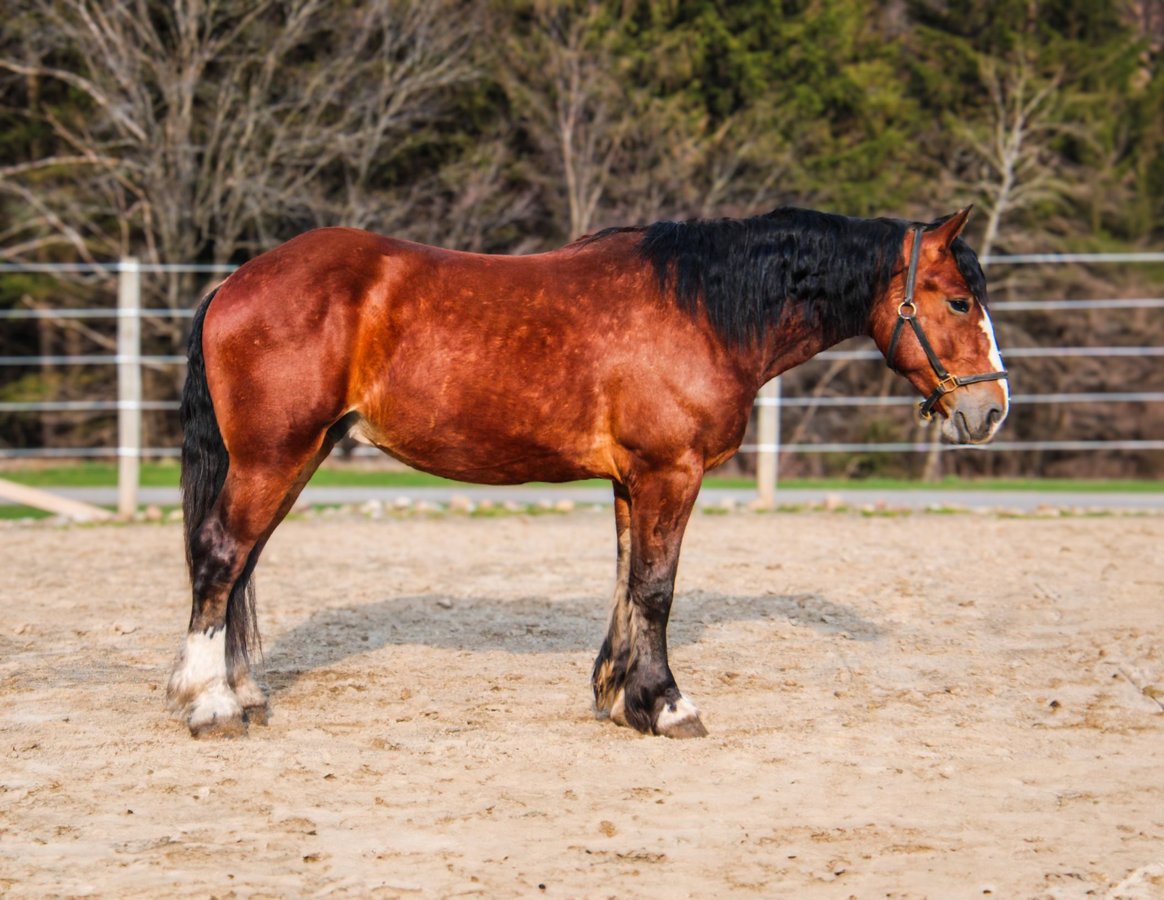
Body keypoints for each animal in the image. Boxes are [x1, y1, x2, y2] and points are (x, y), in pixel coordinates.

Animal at [167, 205, 1008, 739]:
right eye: (957, 302)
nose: (992, 409)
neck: (702, 308)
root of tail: (235, 282)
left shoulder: (632, 481)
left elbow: (628, 585)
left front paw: (619, 696)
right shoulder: (671, 473)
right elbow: (658, 589)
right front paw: (667, 707)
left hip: (294, 456)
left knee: (241, 566)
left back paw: (244, 694)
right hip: (274, 457)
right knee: (219, 557)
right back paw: (211, 706)